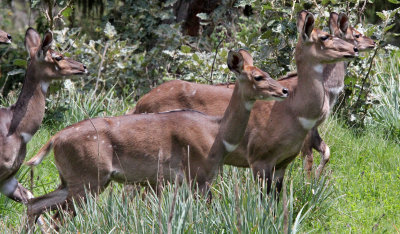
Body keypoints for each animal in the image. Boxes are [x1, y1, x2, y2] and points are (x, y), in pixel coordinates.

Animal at [25, 48, 288, 224]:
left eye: (266, 72)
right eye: (258, 77)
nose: (284, 90)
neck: (216, 135)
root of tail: (54, 139)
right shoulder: (197, 176)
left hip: (70, 180)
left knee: (34, 204)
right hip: (88, 179)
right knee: (58, 217)